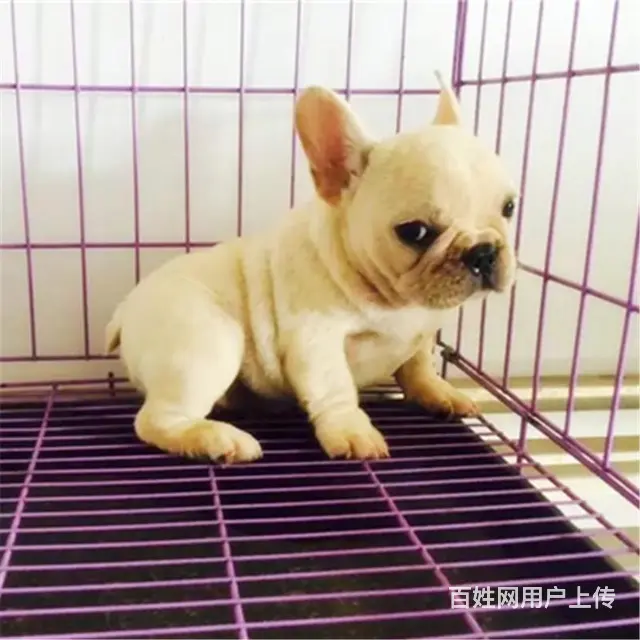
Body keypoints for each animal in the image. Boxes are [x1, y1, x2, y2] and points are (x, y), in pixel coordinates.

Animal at [105, 73, 517, 464]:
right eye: (415, 232)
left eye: (510, 207)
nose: (482, 251)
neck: (397, 302)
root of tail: (124, 311)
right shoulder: (316, 339)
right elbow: (335, 388)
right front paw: (352, 431)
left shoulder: (424, 330)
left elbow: (418, 366)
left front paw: (437, 391)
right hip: (208, 340)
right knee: (156, 419)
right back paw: (216, 439)